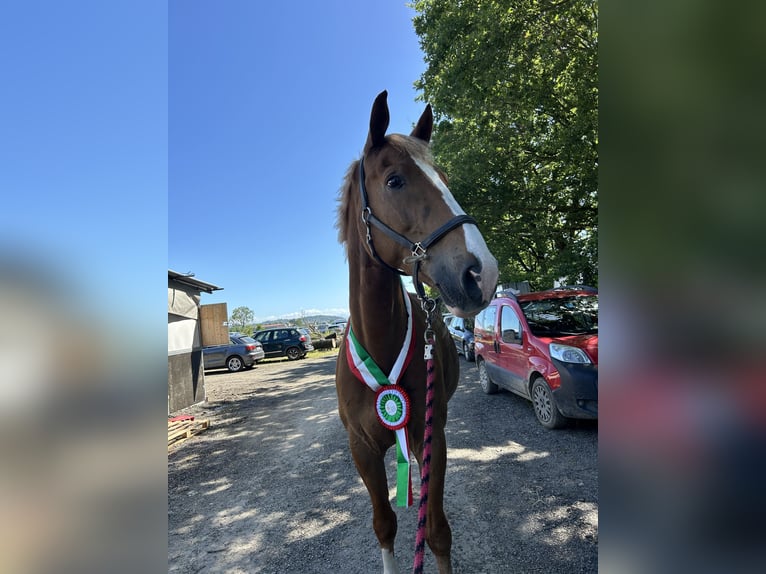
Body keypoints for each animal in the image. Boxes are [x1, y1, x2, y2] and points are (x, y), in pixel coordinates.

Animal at [335, 90, 498, 574]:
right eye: (394, 181)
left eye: (444, 177)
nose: (481, 272)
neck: (380, 345)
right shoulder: (362, 451)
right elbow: (385, 524)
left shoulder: (432, 437)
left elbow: (437, 531)